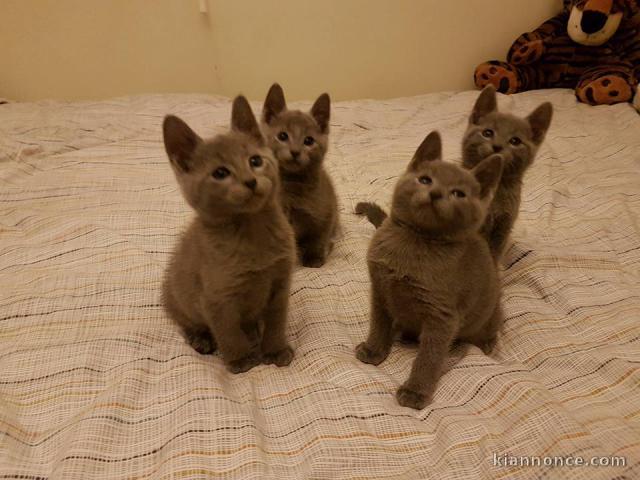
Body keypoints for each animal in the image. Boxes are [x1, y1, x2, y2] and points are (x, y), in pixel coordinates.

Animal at [162, 95, 298, 376]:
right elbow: (228, 333)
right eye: (221, 173)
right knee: (188, 323)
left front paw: (275, 350)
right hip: (181, 301)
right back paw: (201, 339)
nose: (250, 181)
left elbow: (276, 322)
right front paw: (241, 359)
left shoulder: (280, 283)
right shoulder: (217, 299)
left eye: (255, 161)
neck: (252, 229)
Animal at [262, 84, 340, 268]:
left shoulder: (326, 213)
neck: (293, 183)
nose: (295, 151)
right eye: (282, 136)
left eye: (309, 141)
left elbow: (318, 238)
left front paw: (315, 259)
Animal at [356, 131, 504, 408]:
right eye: (425, 179)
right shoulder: (380, 290)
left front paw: (415, 392)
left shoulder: (442, 316)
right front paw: (374, 350)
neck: (414, 240)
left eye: (458, 193)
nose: (435, 193)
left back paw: (488, 343)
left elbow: (429, 357)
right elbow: (378, 324)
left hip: (488, 313)